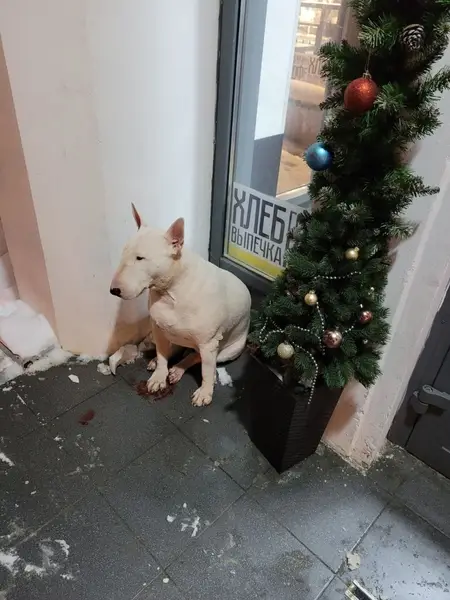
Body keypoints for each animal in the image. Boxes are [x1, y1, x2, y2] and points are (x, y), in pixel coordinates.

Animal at [110, 205, 251, 406]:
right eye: (124, 252)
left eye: (140, 258)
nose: (113, 290)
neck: (171, 293)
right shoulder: (159, 329)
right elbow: (163, 355)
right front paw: (158, 377)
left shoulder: (209, 343)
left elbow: (206, 370)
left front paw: (205, 392)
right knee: (176, 350)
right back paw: (159, 362)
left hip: (229, 350)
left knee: (197, 357)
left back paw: (178, 370)